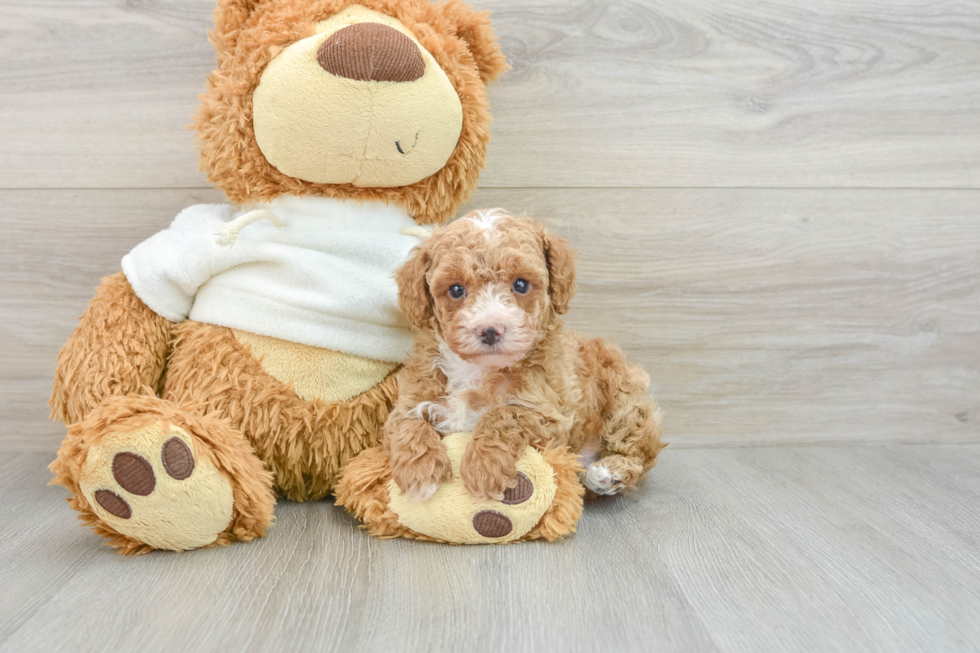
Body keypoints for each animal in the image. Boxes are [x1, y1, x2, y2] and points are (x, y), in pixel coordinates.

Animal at [382, 209, 668, 500]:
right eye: (456, 289)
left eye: (520, 284)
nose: (490, 330)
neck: (477, 370)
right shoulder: (410, 400)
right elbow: (408, 424)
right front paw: (420, 472)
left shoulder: (552, 417)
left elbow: (504, 415)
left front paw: (483, 468)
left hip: (625, 399)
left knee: (639, 450)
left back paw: (608, 473)